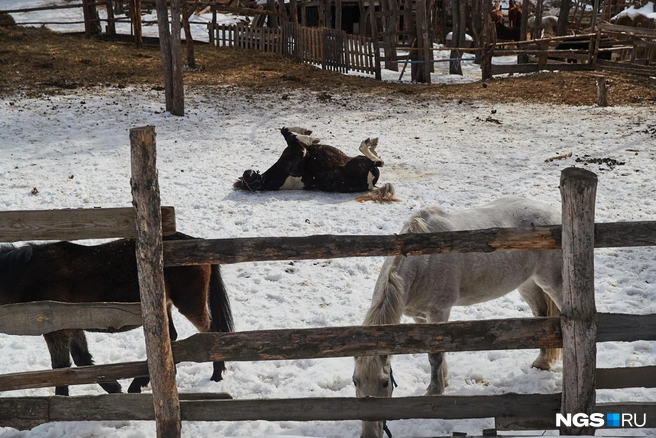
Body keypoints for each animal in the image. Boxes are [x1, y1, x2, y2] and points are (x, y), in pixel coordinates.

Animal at [236, 126, 400, 203]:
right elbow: (288, 135)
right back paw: (367, 144)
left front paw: (307, 133)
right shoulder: (299, 150)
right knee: (378, 161)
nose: (251, 172)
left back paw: (372, 144)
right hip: (357, 162)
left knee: (376, 159)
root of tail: (371, 185)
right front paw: (309, 137)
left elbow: (287, 132)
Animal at [354, 198, 564, 438]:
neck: (422, 261)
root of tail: (553, 214)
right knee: (541, 317)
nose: (369, 434)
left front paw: (434, 393)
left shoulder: (439, 311)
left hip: (553, 283)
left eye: (383, 383)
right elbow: (434, 355)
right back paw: (542, 362)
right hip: (528, 284)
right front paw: (443, 381)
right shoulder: (420, 317)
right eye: (355, 381)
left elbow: (435, 355)